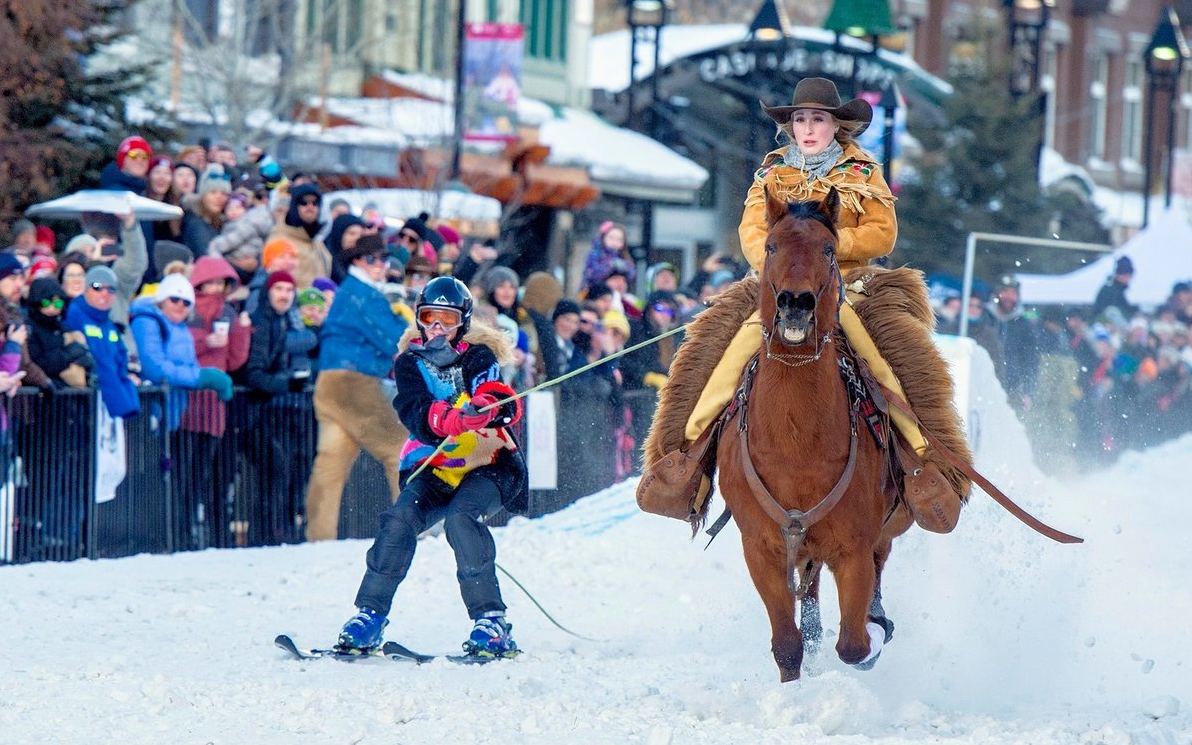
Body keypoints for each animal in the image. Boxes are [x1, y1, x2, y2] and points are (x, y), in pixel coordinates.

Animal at [715, 188, 910, 681]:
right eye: (771, 247)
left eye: (827, 250)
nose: (796, 303)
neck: (796, 440)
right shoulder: (761, 549)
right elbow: (787, 645)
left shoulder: (854, 548)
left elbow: (855, 645)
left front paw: (873, 631)